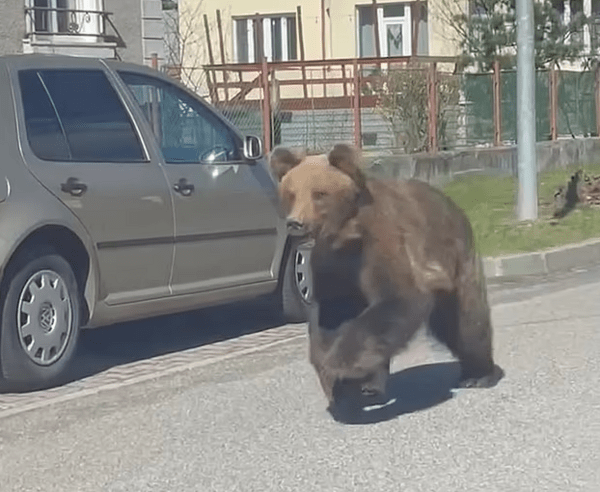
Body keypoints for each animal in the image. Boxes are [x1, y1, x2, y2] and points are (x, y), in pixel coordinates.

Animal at [270, 141, 504, 408]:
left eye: (319, 194)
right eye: (290, 194)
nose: (295, 223)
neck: (347, 236)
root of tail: (455, 205)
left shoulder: (383, 243)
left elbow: (399, 298)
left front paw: (341, 367)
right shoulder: (333, 265)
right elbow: (332, 313)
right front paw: (337, 381)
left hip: (456, 259)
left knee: (466, 319)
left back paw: (479, 374)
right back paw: (372, 385)